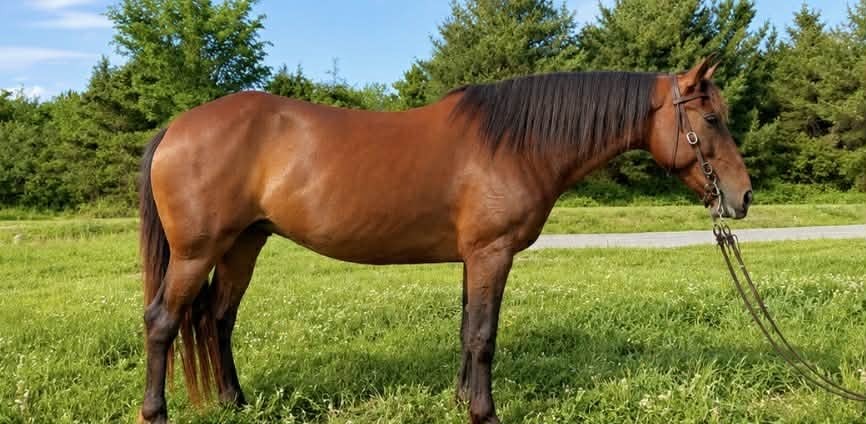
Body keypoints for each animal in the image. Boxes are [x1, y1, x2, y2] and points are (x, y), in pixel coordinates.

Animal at [137, 57, 752, 424]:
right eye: (712, 120)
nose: (743, 197)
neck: (515, 143)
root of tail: (175, 128)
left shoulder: (471, 258)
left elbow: (466, 329)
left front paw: (461, 401)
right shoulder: (490, 253)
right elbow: (483, 335)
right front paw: (485, 412)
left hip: (244, 244)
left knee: (217, 318)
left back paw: (234, 402)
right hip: (197, 252)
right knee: (164, 321)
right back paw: (156, 410)